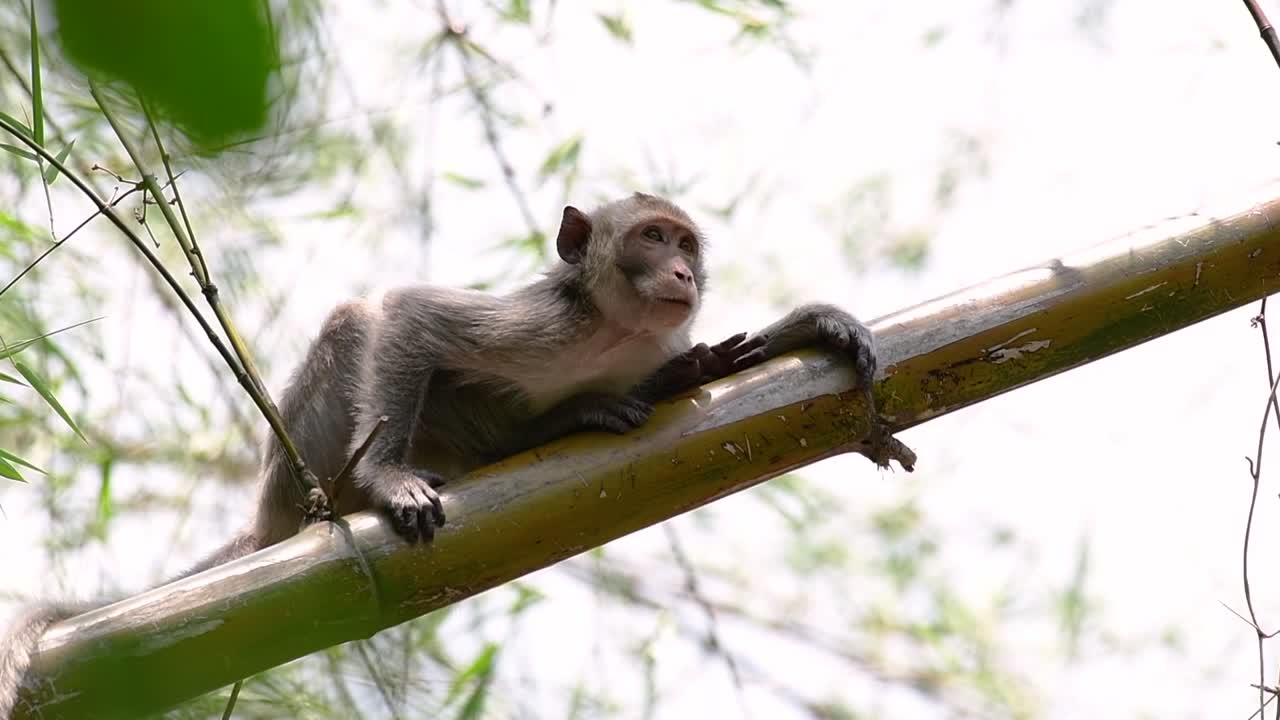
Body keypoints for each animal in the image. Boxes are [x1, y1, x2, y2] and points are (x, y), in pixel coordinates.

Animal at [0, 192, 877, 717]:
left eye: (687, 243)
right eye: (652, 237)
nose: (682, 271)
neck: (612, 332)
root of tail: (271, 512)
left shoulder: (655, 340)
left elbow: (711, 363)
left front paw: (811, 326)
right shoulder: (542, 324)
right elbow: (408, 315)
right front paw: (391, 480)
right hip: (306, 460)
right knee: (357, 323)